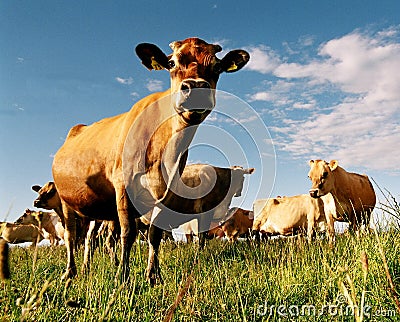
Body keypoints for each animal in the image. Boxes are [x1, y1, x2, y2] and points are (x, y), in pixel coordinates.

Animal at [50, 37, 250, 284]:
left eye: (217, 67)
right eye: (172, 63)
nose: (195, 87)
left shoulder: (165, 192)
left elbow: (155, 234)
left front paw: (153, 276)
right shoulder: (123, 186)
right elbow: (128, 233)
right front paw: (123, 277)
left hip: (98, 208)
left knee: (91, 237)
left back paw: (88, 267)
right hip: (66, 201)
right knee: (71, 235)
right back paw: (70, 272)